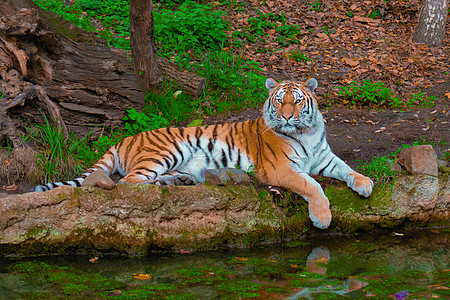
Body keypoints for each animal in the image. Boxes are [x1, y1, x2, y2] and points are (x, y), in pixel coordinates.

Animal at [32, 78, 372, 229]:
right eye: (279, 101)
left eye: (298, 101)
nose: (287, 116)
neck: (306, 132)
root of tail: (125, 138)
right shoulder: (281, 170)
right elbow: (311, 185)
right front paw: (322, 217)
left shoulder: (325, 157)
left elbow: (347, 168)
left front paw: (365, 183)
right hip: (166, 151)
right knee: (127, 185)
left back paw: (177, 183)